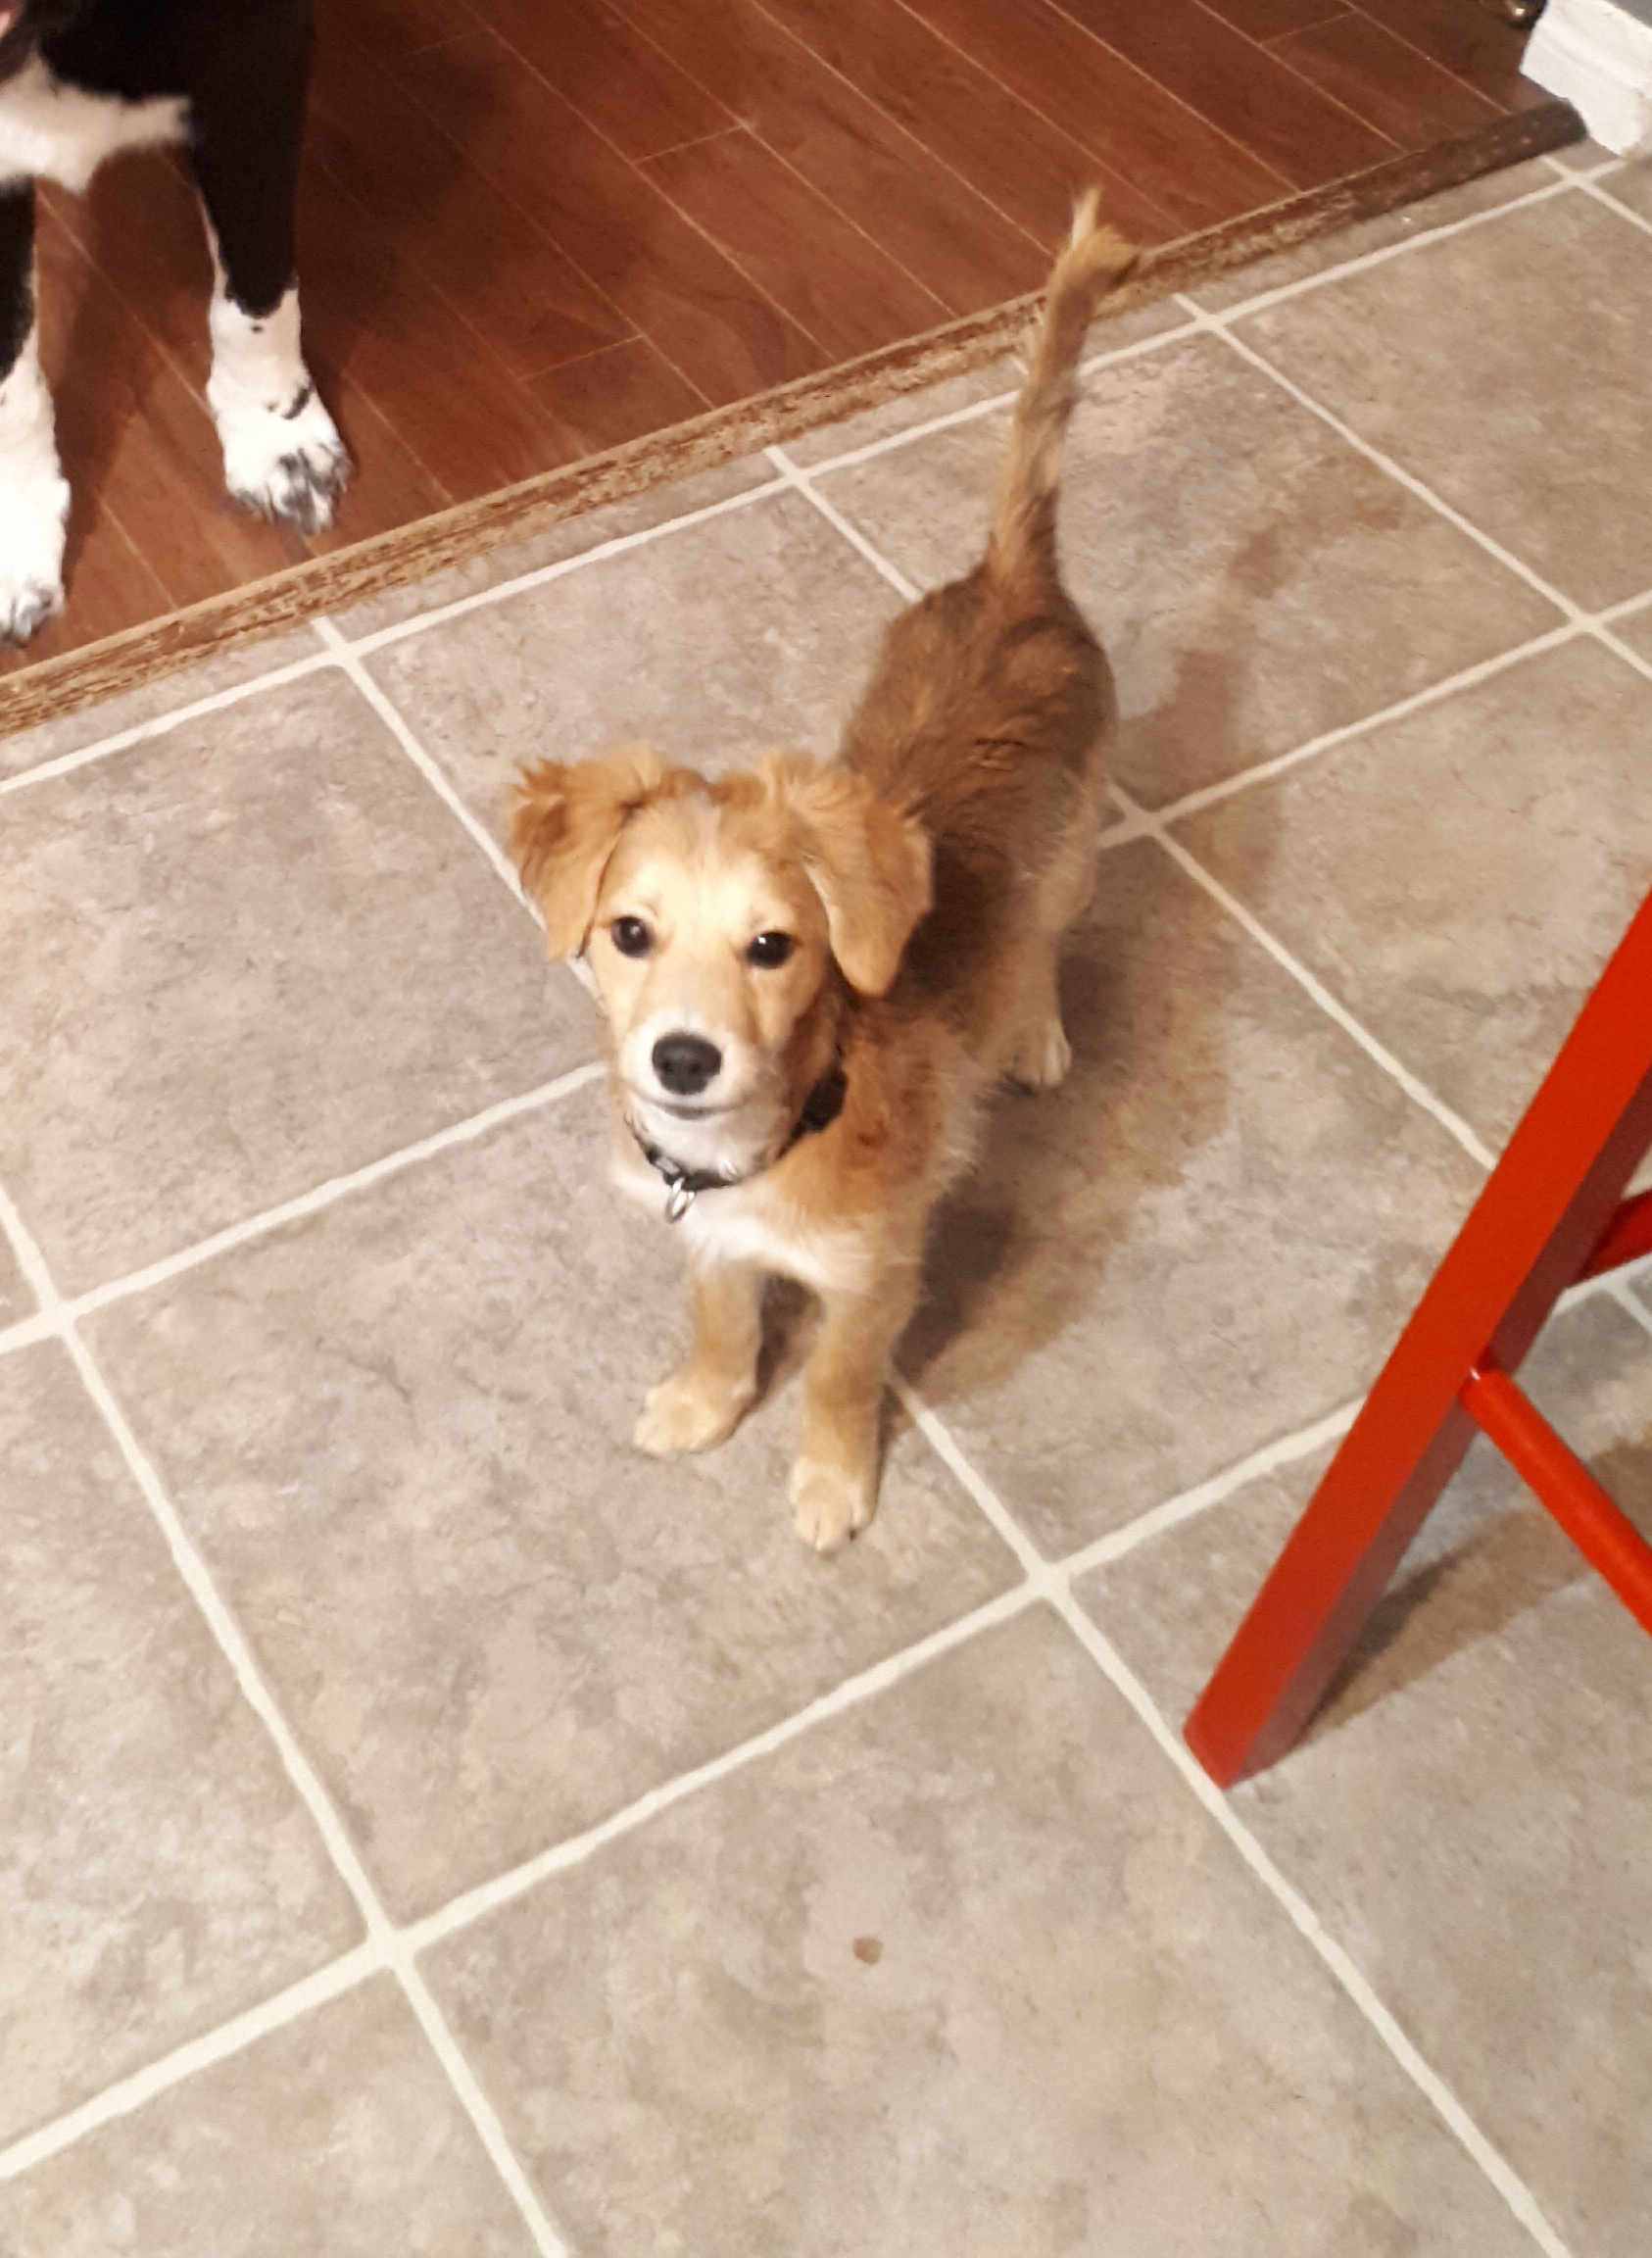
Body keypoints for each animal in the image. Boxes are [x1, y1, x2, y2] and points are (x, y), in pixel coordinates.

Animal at [511, 198, 1135, 1551]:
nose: (683, 1060)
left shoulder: (871, 1276)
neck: (771, 1142)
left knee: (1042, 935)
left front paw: (833, 1482)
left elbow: (842, 1379)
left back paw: (1034, 1029)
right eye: (628, 934)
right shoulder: (712, 1243)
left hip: (1074, 847)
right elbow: (724, 1323)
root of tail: (1015, 581)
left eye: (772, 947)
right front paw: (704, 1403)